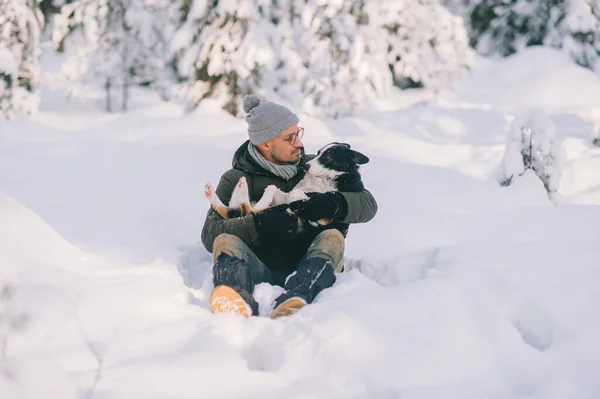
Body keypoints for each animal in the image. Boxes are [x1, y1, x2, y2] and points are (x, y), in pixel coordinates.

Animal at [204, 143, 368, 225]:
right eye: (318, 153)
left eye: (328, 157)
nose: (305, 166)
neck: (324, 178)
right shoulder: (283, 198)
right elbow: (271, 189)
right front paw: (262, 202)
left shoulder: (323, 217)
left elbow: (302, 196)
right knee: (239, 210)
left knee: (242, 210)